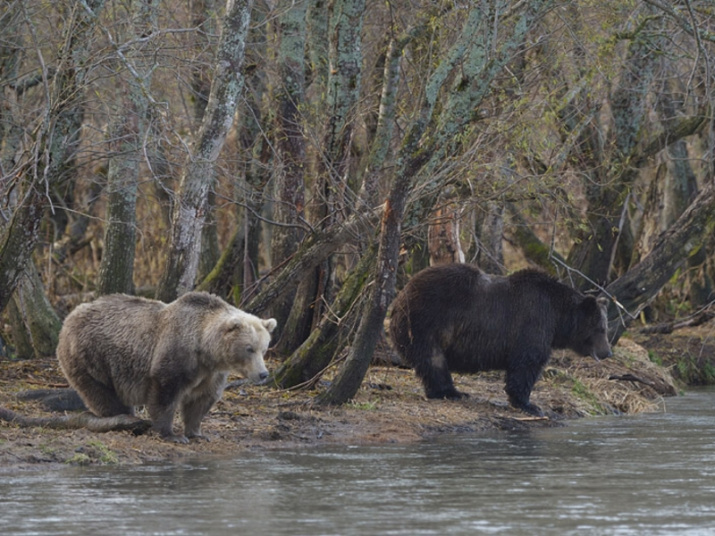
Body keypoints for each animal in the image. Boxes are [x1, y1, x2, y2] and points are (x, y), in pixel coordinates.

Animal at [56, 292, 276, 442]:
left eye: (264, 348)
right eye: (249, 348)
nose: (263, 374)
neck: (204, 348)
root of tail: (69, 317)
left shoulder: (210, 373)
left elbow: (201, 400)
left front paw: (197, 433)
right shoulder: (177, 353)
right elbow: (165, 393)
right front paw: (172, 435)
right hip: (91, 355)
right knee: (102, 393)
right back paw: (122, 419)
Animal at [388, 264, 612, 414]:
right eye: (601, 328)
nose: (607, 352)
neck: (558, 317)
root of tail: (401, 295)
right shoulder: (533, 321)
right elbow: (527, 363)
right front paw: (529, 404)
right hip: (428, 320)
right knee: (433, 359)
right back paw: (451, 392)